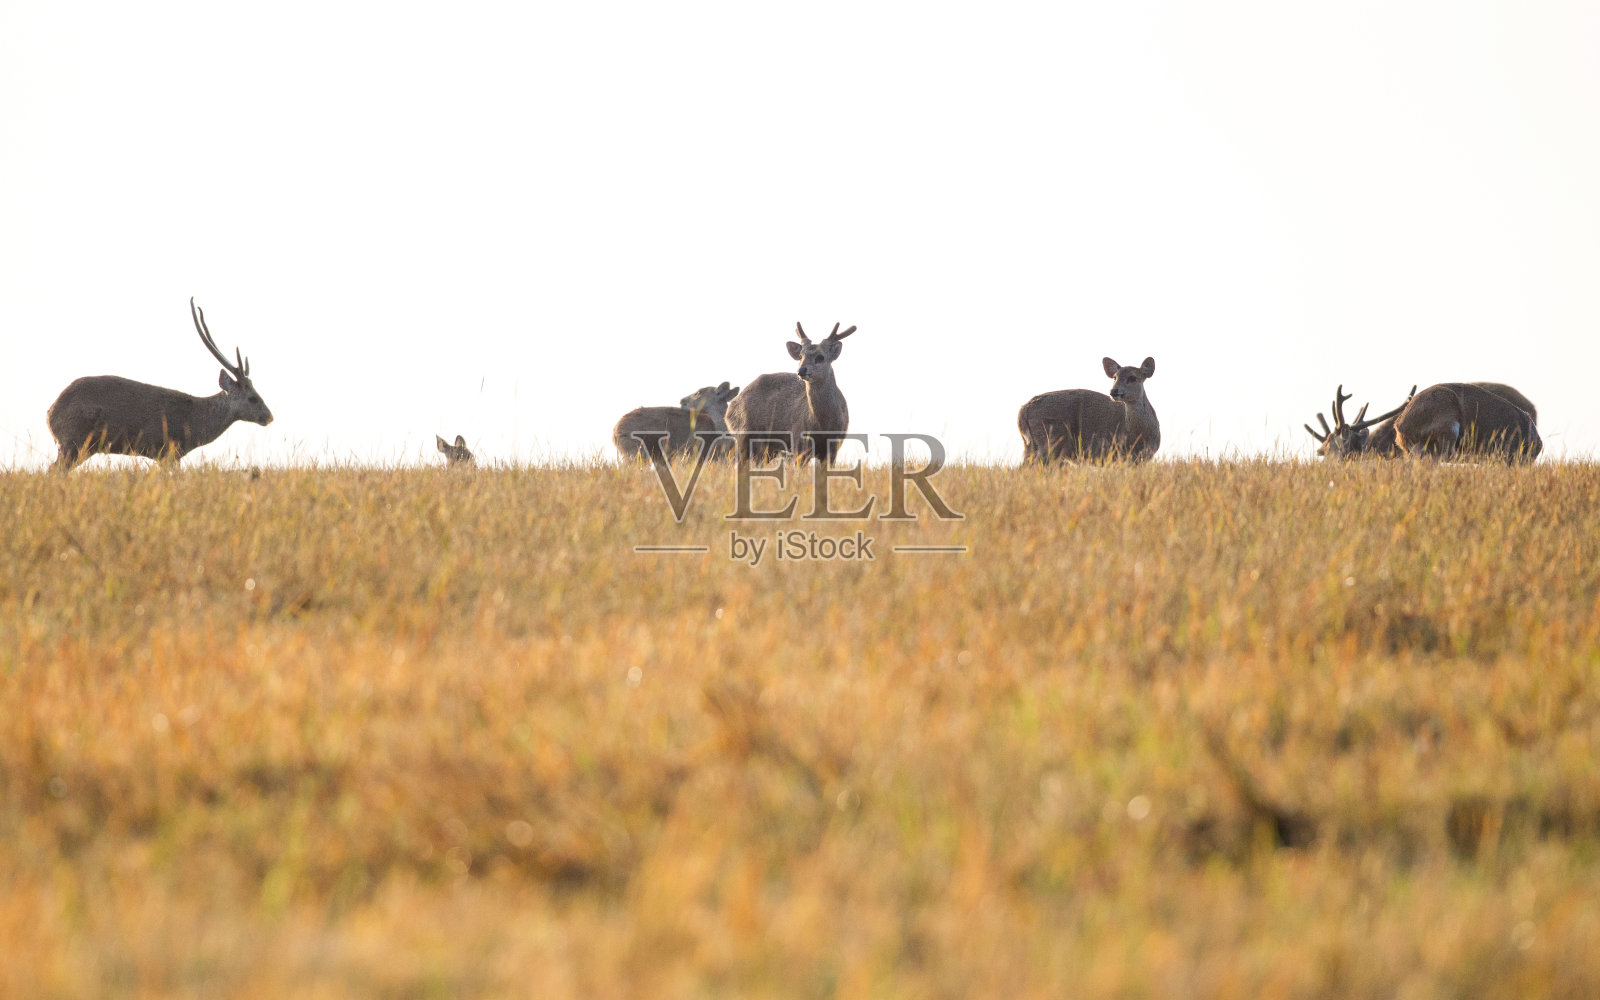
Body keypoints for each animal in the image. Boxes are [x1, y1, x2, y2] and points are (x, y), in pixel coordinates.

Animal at [47, 298, 273, 472]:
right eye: (253, 398)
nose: (269, 416)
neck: (194, 423)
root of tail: (50, 414)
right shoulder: (166, 450)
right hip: (74, 441)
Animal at [725, 322, 856, 466]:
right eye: (800, 356)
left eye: (820, 357)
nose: (801, 370)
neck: (823, 426)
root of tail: (731, 407)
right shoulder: (799, 441)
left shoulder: (834, 447)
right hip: (744, 433)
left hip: (767, 448)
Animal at [1018, 356, 1159, 464]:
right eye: (1115, 377)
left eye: (1132, 378)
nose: (1114, 391)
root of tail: (1023, 410)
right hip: (1050, 439)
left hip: (1031, 445)